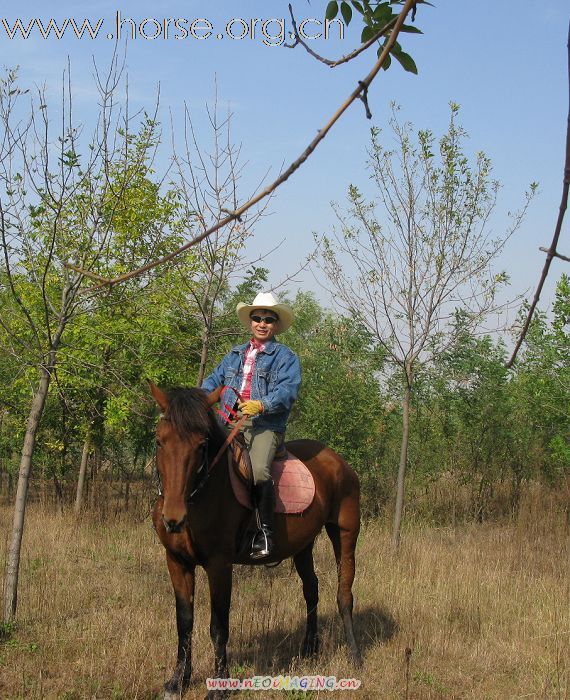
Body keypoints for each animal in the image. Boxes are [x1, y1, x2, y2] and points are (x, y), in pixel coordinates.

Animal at [148, 382, 360, 700]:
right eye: (160, 441)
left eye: (201, 444)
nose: (173, 518)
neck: (202, 493)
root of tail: (338, 461)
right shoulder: (177, 562)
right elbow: (184, 622)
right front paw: (177, 681)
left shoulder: (219, 565)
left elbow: (218, 625)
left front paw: (219, 686)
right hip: (304, 545)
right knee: (311, 589)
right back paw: (310, 648)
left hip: (345, 533)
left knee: (344, 593)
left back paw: (354, 654)